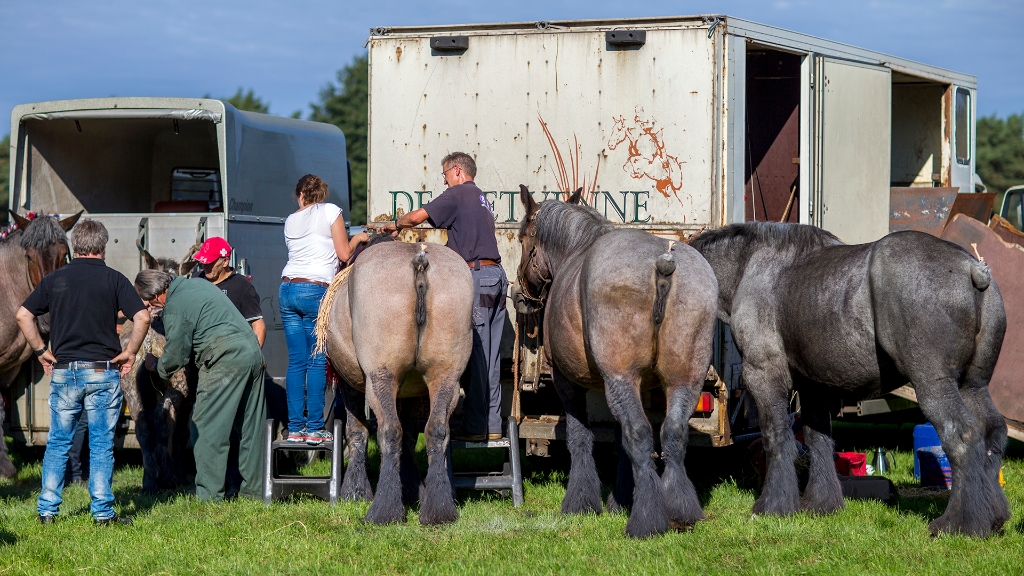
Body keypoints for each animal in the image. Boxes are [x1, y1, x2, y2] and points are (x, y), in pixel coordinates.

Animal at [323, 239, 475, 522]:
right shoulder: (413, 392)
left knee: (389, 431)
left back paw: (384, 509)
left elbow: (357, 431)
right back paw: (438, 509)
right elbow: (411, 435)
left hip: (381, 377)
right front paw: (413, 487)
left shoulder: (348, 384)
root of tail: (419, 260)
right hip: (446, 376)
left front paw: (355, 491)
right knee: (437, 430)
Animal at [516, 186, 716, 537]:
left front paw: (581, 503)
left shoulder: (568, 381)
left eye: (521, 239)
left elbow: (581, 436)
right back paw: (680, 509)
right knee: (672, 433)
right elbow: (620, 438)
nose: (521, 295)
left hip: (620, 378)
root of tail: (663, 263)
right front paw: (620, 499)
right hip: (684, 379)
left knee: (639, 432)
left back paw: (647, 518)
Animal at [688, 222, 1007, 537]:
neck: (748, 267)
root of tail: (973, 270)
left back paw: (959, 524)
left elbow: (776, 438)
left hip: (934, 384)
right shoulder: (813, 386)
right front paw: (820, 503)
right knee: (993, 432)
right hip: (972, 386)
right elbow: (818, 439)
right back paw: (993, 516)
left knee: (962, 434)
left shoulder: (763, 374)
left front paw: (772, 506)